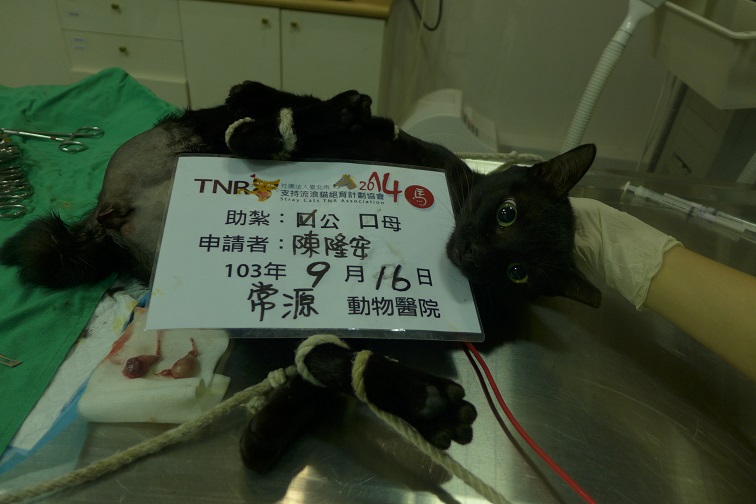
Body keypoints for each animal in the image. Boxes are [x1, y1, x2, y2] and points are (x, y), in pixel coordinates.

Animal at [0, 80, 600, 472]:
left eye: (518, 272)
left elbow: (320, 369)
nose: (474, 253)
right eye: (508, 214)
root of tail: (109, 213)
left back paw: (423, 404)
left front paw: (274, 427)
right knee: (269, 109)